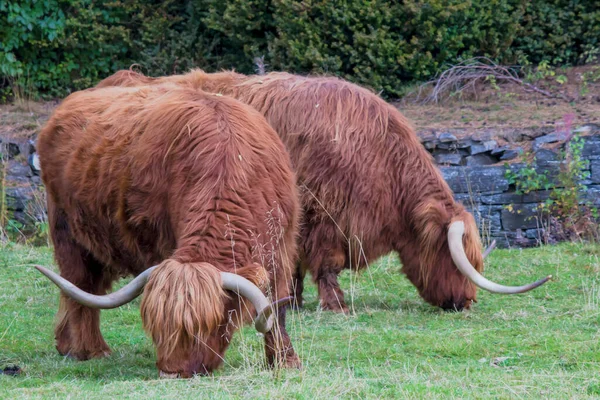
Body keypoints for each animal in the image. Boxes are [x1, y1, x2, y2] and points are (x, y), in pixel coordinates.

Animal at [35, 83, 302, 376]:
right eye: (157, 329)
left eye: (204, 328)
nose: (171, 371)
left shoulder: (281, 248)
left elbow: (276, 306)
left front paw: (285, 360)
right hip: (68, 233)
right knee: (78, 285)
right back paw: (87, 349)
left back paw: (67, 344)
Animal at [96, 69, 552, 312]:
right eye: (454, 258)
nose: (466, 301)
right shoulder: (325, 217)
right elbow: (325, 266)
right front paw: (335, 305)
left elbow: (296, 266)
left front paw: (293, 301)